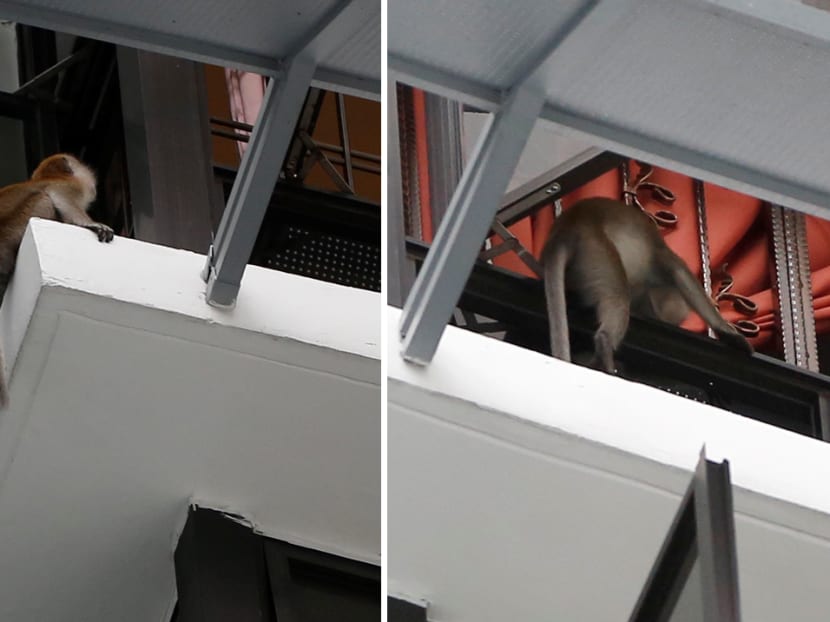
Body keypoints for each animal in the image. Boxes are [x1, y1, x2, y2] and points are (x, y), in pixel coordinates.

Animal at [544, 199, 756, 376]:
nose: (674, 320)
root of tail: (569, 225)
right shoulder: (662, 262)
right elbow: (681, 274)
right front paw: (729, 333)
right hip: (596, 250)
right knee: (618, 296)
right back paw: (604, 345)